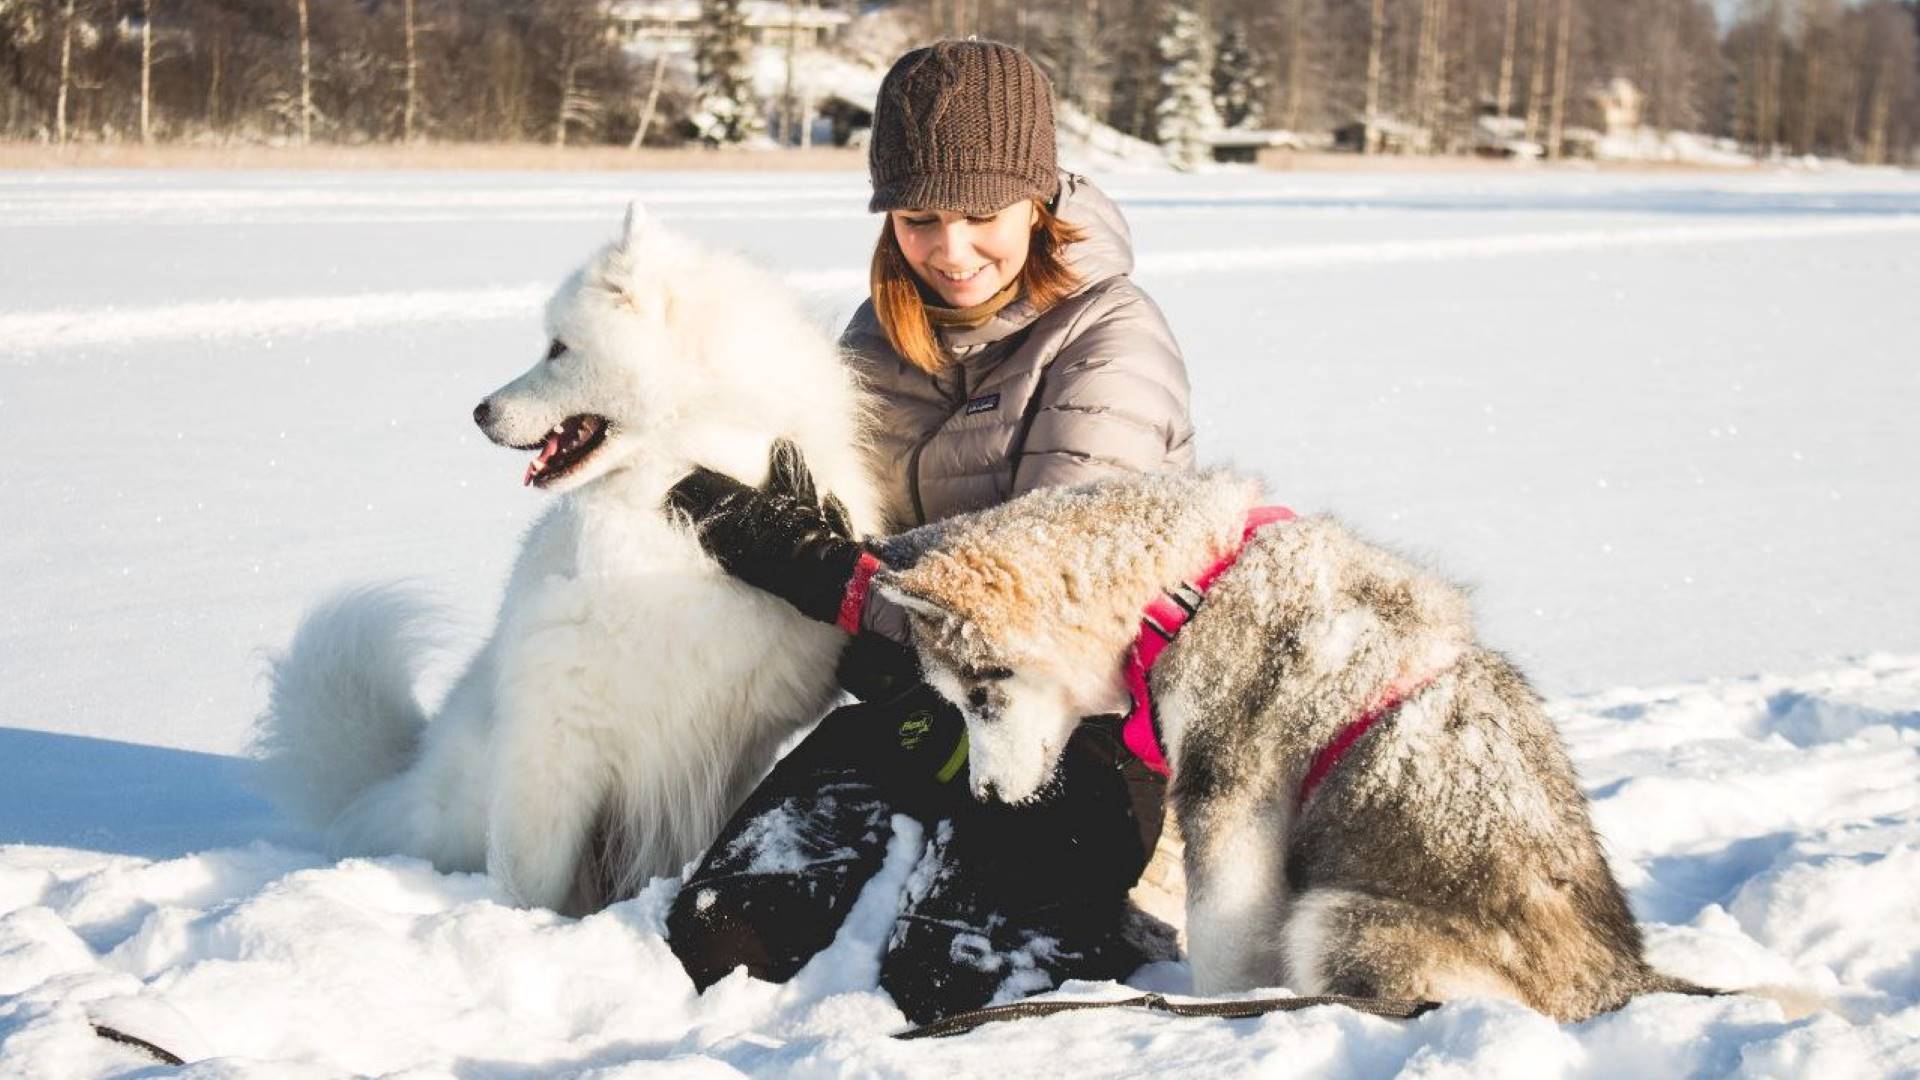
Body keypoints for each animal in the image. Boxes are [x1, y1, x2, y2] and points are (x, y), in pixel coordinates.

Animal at [251, 201, 879, 907]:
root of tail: (406, 776)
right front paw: (525, 924)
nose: (478, 412)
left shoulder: (727, 746)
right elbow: (535, 878)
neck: (676, 511)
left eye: (558, 348)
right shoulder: (557, 735)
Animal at [871, 468, 1712, 1014]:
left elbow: (1223, 948)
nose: (986, 794)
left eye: (982, 694)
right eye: (954, 702)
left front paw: (1217, 1016)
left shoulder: (1228, 799)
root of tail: (1621, 982)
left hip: (1335, 918)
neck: (1188, 588)